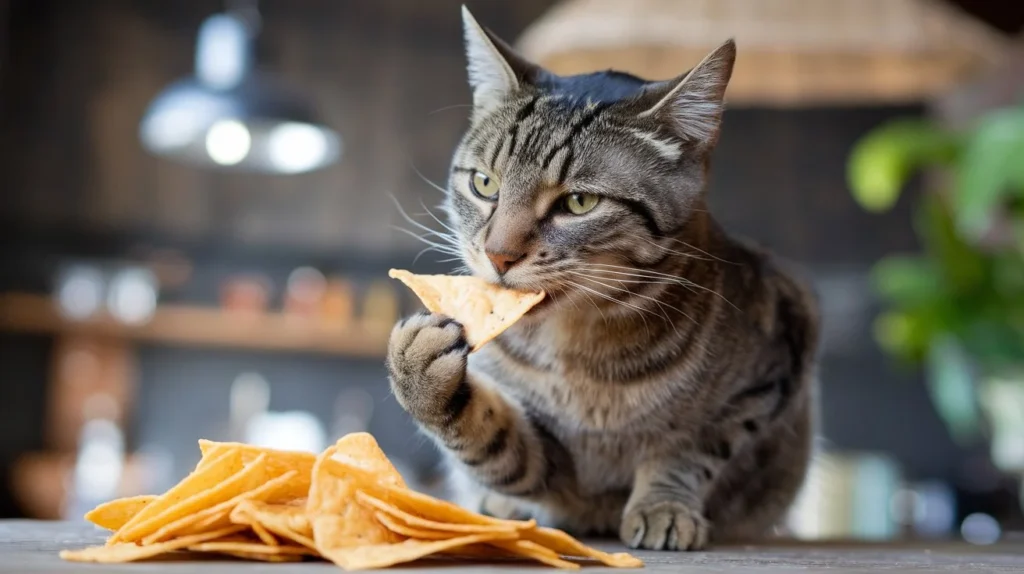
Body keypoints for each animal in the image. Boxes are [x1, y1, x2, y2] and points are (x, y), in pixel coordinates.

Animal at [385, 5, 823, 552]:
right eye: (485, 184)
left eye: (580, 202)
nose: (498, 255)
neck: (579, 355)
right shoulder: (546, 463)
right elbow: (491, 442)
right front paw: (420, 374)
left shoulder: (769, 371)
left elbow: (691, 449)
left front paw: (663, 506)